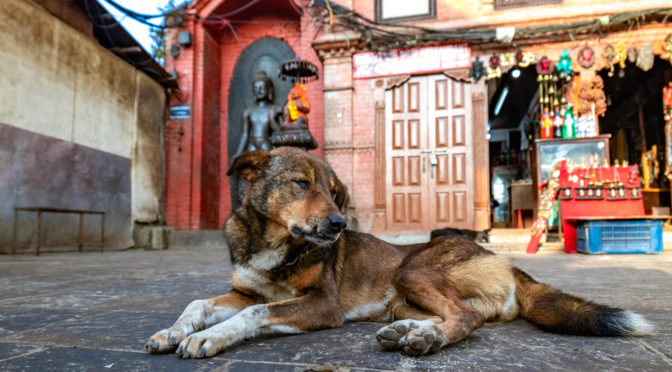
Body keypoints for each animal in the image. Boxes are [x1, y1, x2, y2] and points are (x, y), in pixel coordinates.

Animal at [144, 147, 652, 358]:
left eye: (335, 193)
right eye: (302, 184)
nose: (338, 225)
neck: (276, 243)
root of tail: (508, 263)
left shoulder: (322, 304)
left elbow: (251, 316)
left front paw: (210, 338)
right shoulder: (245, 291)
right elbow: (199, 303)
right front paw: (171, 332)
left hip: (414, 271)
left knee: (466, 317)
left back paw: (425, 340)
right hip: (406, 296)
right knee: (459, 314)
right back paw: (411, 331)